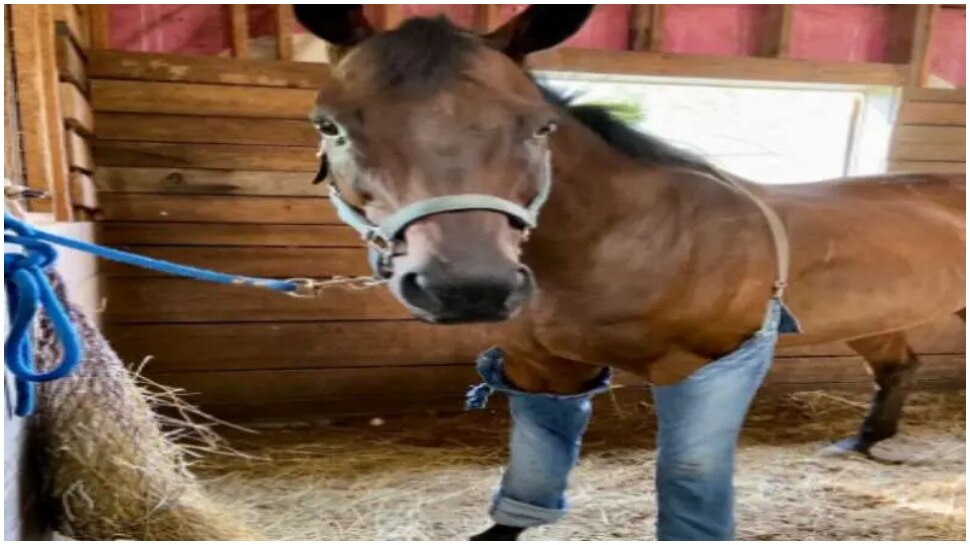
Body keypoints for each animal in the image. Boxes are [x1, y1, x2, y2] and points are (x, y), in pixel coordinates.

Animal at [293, 5, 966, 540]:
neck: (618, 236)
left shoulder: (702, 369)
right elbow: (531, 476)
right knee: (900, 368)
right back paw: (863, 442)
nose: (468, 288)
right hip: (876, 320)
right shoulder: (542, 369)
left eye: (540, 126)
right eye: (329, 124)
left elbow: (686, 480)